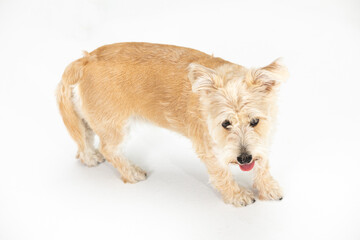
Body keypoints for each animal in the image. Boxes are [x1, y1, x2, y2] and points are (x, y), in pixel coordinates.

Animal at [56, 42, 290, 206]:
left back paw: (89, 157)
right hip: (114, 126)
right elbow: (221, 174)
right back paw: (131, 172)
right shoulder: (207, 147)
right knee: (109, 149)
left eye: (254, 121)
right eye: (225, 123)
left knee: (85, 138)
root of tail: (86, 59)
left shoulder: (263, 140)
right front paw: (237, 194)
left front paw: (268, 187)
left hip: (89, 119)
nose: (244, 158)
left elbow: (263, 163)